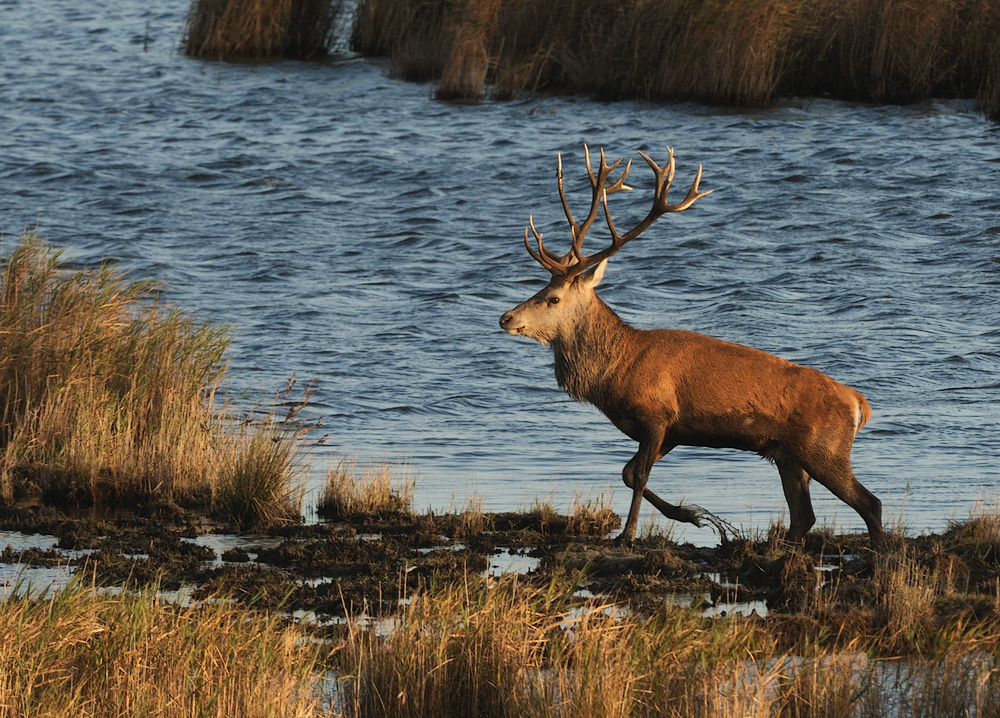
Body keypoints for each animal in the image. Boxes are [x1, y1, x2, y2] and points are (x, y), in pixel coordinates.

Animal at [498, 148, 884, 552]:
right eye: (540, 288)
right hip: (789, 455)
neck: (616, 371)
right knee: (803, 516)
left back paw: (880, 556)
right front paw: (692, 515)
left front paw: (631, 533)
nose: (506, 318)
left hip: (825, 448)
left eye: (553, 298)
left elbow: (637, 475)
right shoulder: (673, 430)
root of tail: (858, 403)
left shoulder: (657, 415)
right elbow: (628, 472)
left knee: (869, 503)